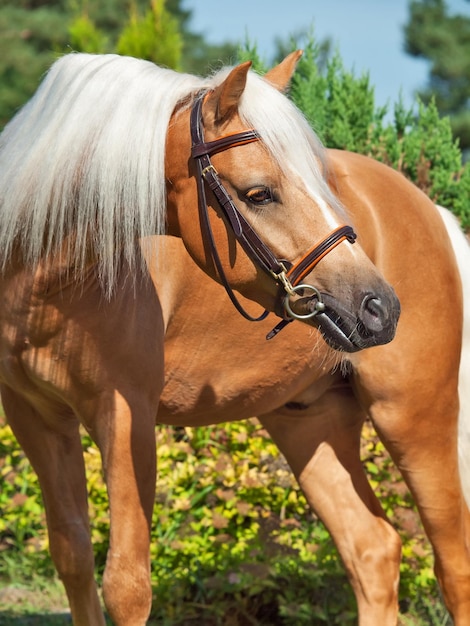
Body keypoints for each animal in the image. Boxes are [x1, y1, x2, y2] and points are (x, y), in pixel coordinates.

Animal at [0, 51, 400, 620]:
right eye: (259, 193)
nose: (379, 307)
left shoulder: (127, 417)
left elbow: (126, 586)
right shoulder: (35, 417)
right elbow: (73, 557)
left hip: (411, 418)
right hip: (311, 419)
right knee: (373, 550)